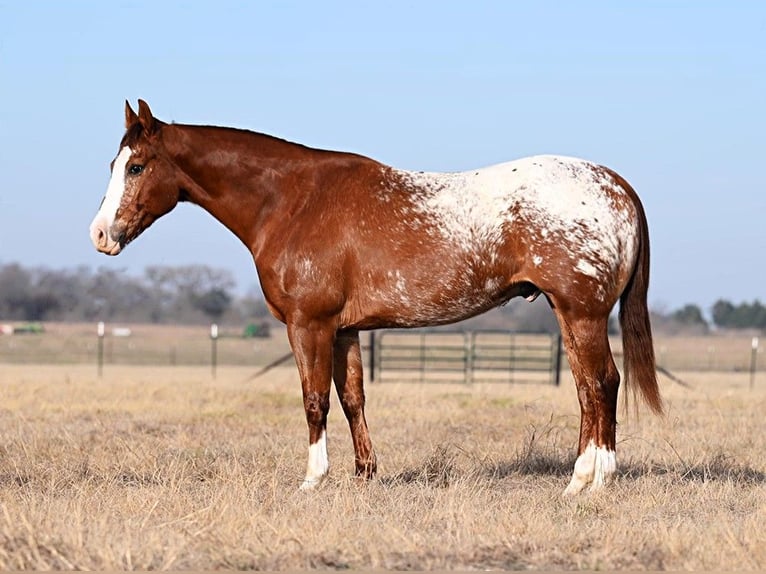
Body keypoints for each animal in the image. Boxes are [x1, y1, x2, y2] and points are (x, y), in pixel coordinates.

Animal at [90, 101, 664, 498]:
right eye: (113, 164)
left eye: (136, 167)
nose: (100, 234)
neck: (292, 200)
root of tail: (615, 185)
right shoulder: (345, 329)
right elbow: (352, 400)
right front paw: (364, 475)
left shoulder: (309, 324)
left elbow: (314, 399)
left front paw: (313, 480)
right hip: (569, 314)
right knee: (588, 389)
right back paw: (583, 478)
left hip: (582, 312)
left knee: (601, 384)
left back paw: (591, 482)